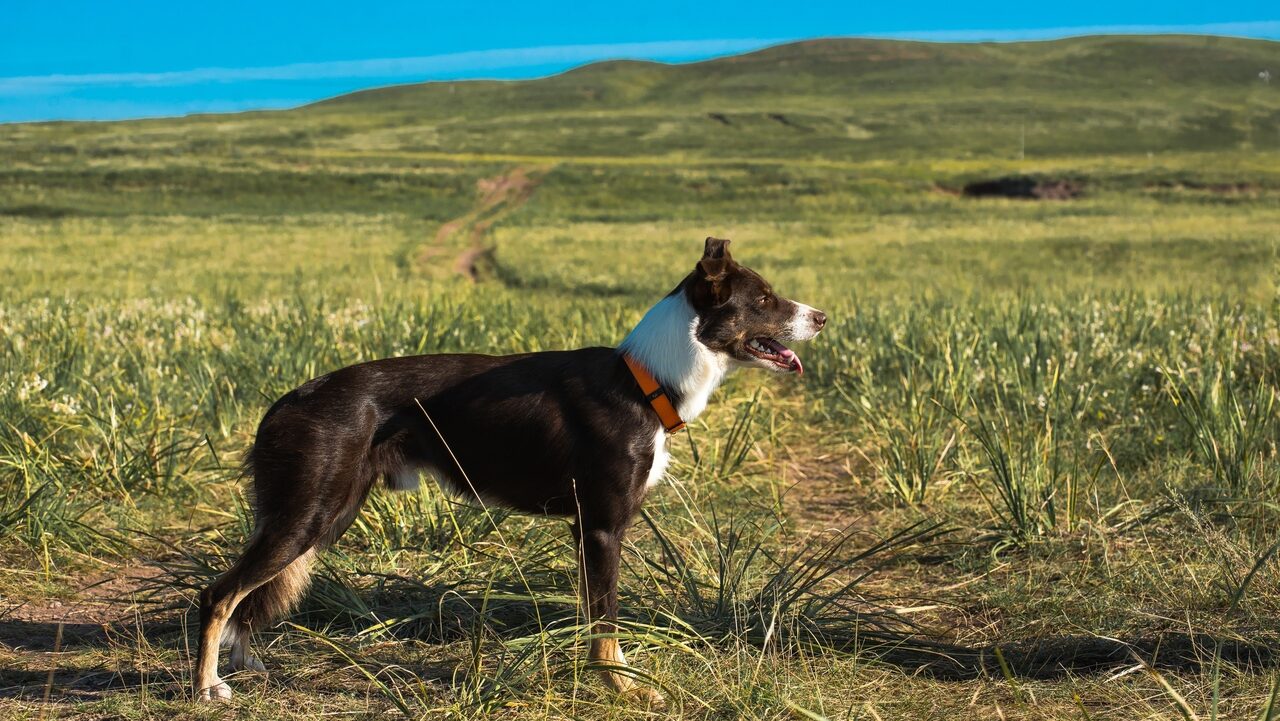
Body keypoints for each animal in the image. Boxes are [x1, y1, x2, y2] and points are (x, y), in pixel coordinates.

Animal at [192, 236, 829, 706]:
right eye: (764, 300)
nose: (822, 317)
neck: (645, 381)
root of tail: (287, 401)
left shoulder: (586, 532)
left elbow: (596, 621)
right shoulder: (602, 529)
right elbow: (606, 626)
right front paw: (622, 689)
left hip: (321, 517)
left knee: (248, 597)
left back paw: (245, 665)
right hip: (308, 516)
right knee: (218, 594)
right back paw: (206, 687)